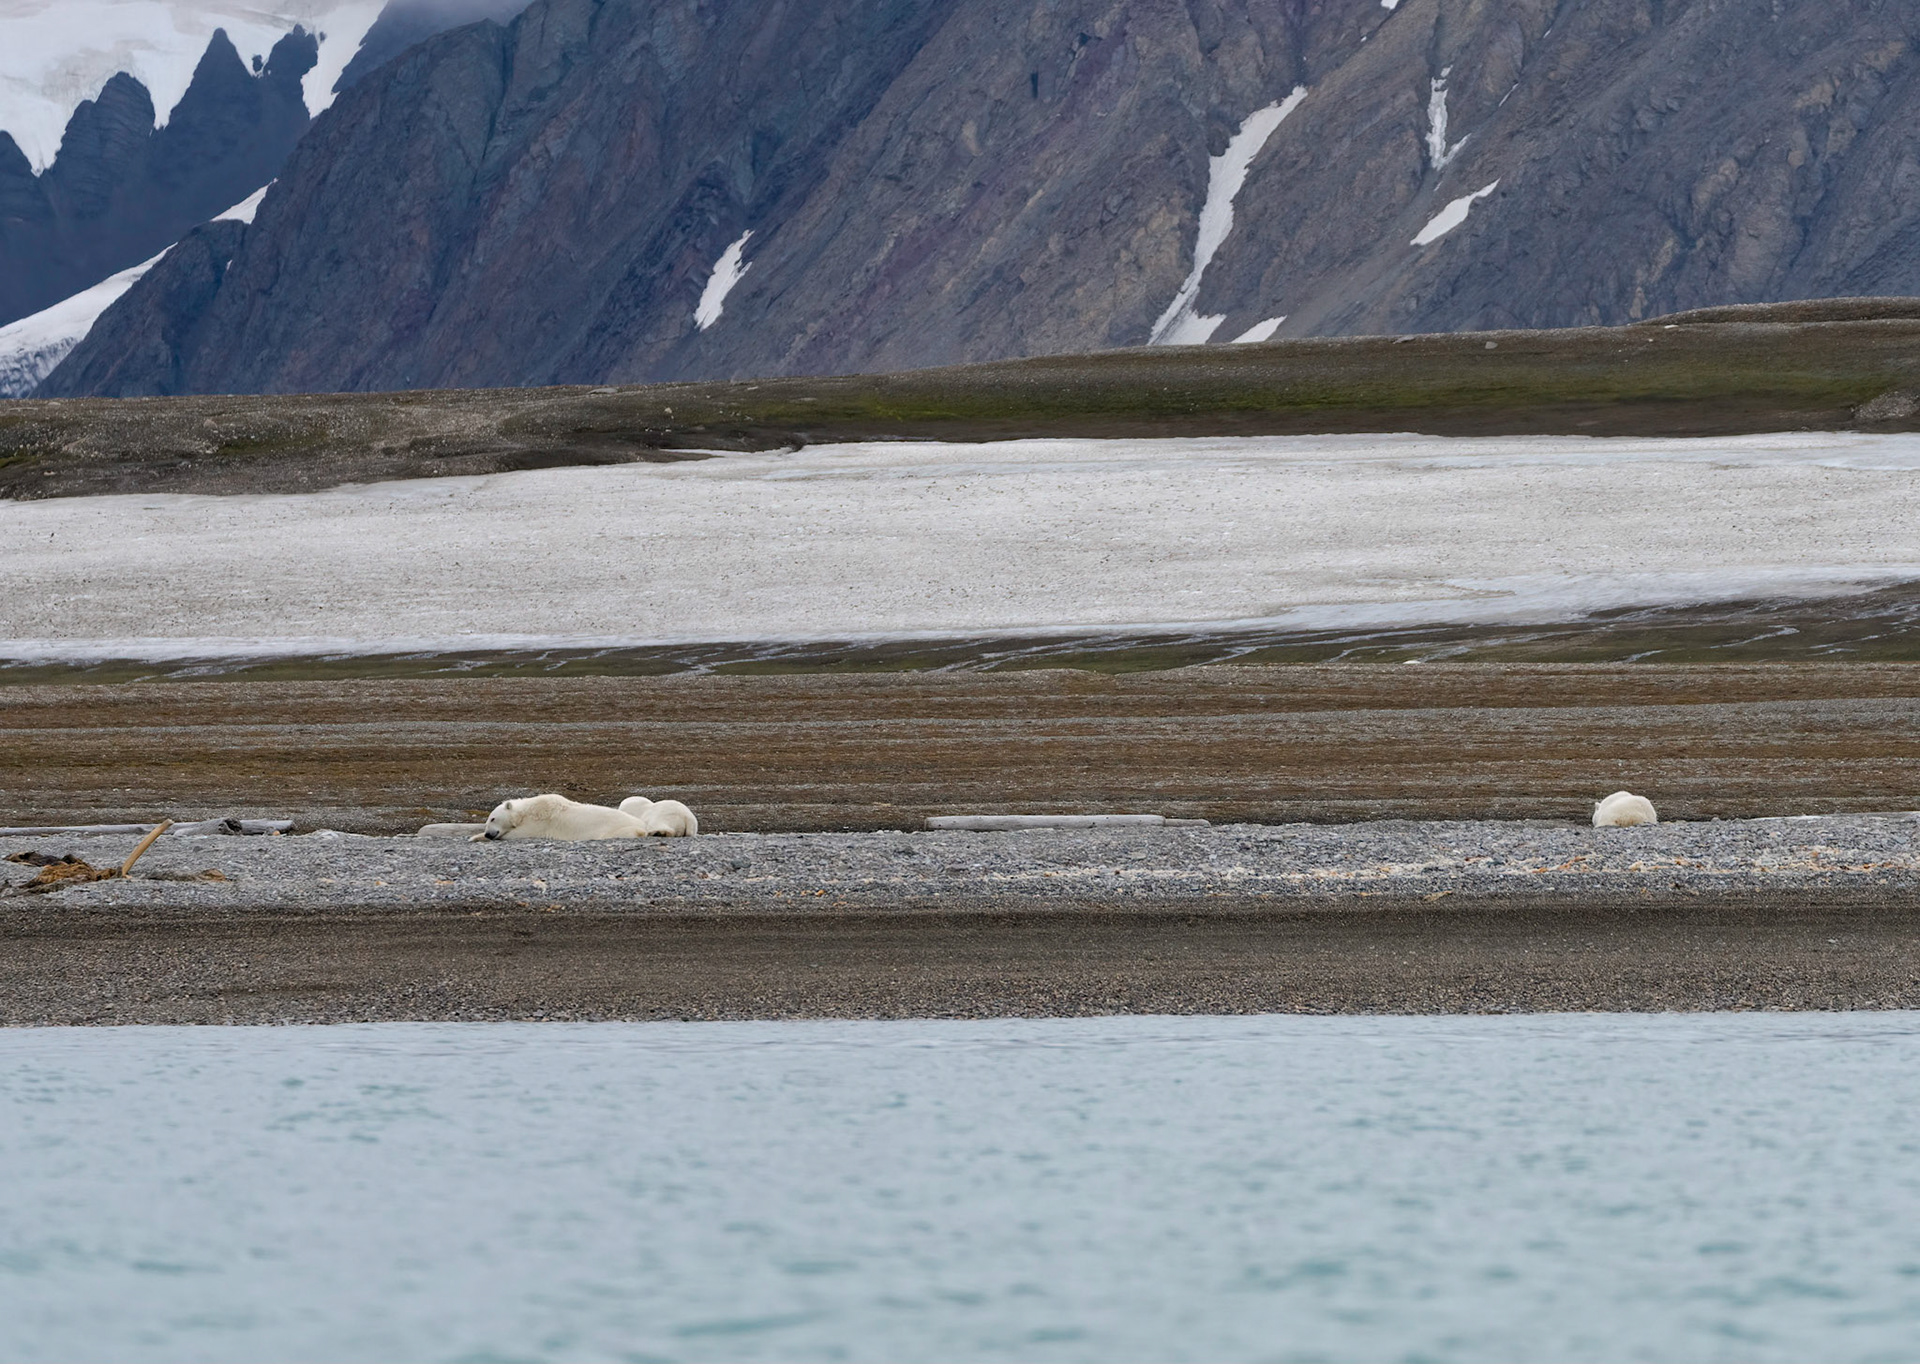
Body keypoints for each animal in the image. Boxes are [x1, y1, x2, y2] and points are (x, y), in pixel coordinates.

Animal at [470, 793, 649, 841]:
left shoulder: (540, 823)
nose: (488, 834)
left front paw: (474, 837)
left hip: (616, 829)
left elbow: (518, 833)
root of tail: (643, 825)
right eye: (488, 820)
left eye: (492, 819)